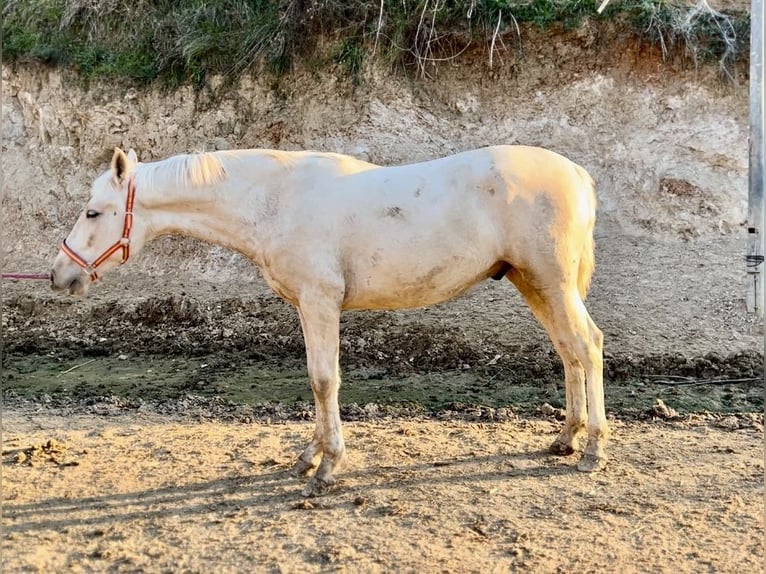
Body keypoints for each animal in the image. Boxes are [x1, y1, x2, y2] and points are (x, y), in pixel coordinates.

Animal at [51, 146, 608, 498]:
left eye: (93, 212)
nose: (60, 275)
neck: (275, 201)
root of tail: (580, 175)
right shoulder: (307, 305)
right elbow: (316, 379)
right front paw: (308, 457)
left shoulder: (321, 301)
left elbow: (324, 380)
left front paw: (326, 469)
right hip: (533, 283)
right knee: (568, 350)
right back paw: (566, 439)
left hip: (551, 282)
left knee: (588, 345)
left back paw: (593, 450)